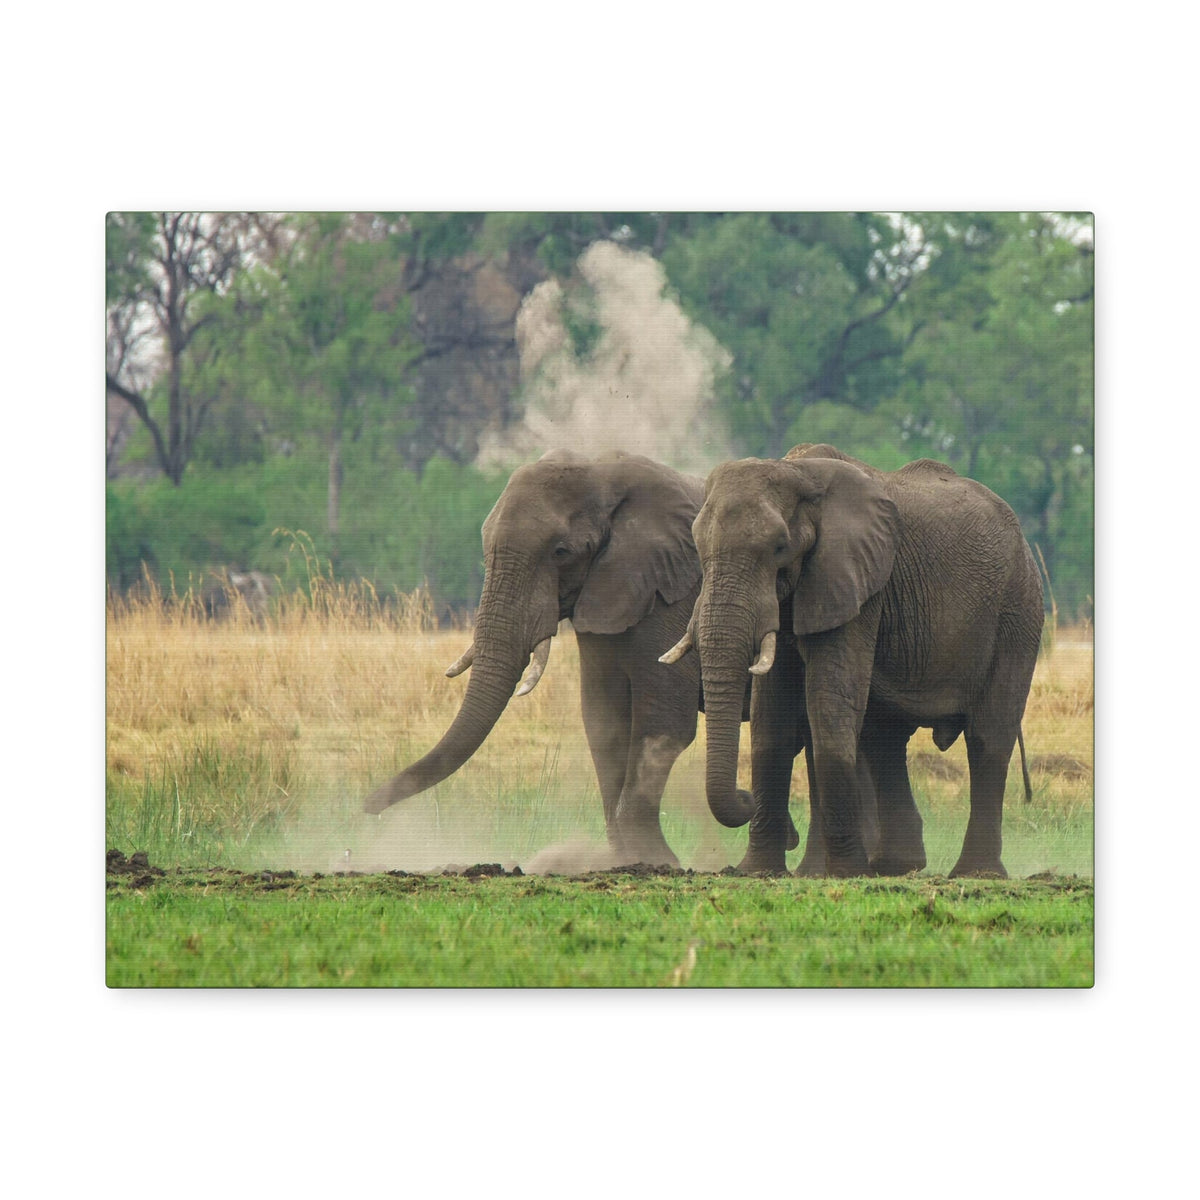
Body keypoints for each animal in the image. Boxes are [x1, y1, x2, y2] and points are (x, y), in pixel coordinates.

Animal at [364, 449, 789, 868]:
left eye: (561, 552)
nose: (367, 808)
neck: (603, 472)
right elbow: (604, 722)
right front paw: (624, 860)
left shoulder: (670, 595)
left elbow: (662, 724)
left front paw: (658, 861)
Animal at [660, 443, 1044, 879]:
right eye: (698, 548)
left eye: (779, 548)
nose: (744, 798)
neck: (797, 472)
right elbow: (771, 717)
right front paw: (756, 871)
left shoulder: (855, 584)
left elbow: (828, 701)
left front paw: (841, 872)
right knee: (884, 738)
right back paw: (895, 866)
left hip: (1017, 610)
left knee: (988, 735)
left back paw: (974, 874)